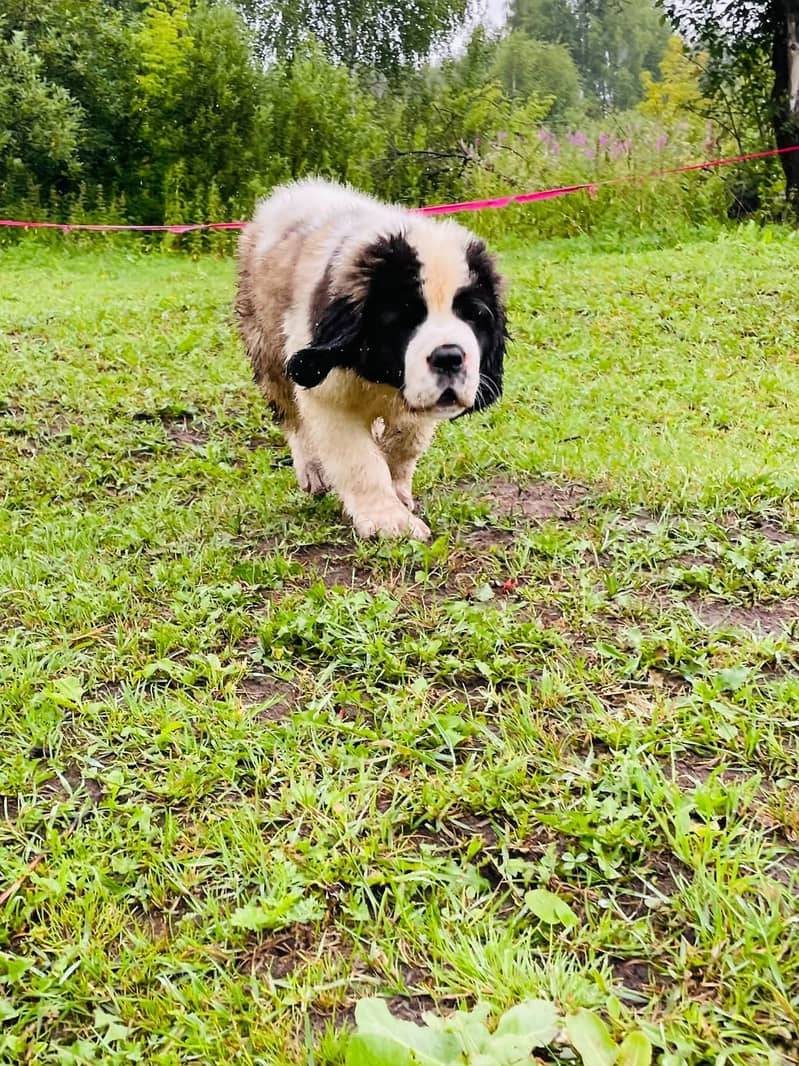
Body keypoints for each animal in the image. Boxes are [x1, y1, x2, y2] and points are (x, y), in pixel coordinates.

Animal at [234, 179, 507, 541]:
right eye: (403, 318)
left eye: (475, 316)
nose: (449, 357)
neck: (384, 378)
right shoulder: (325, 392)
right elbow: (358, 460)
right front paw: (388, 519)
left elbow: (406, 441)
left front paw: (398, 489)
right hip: (266, 344)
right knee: (290, 413)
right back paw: (312, 469)